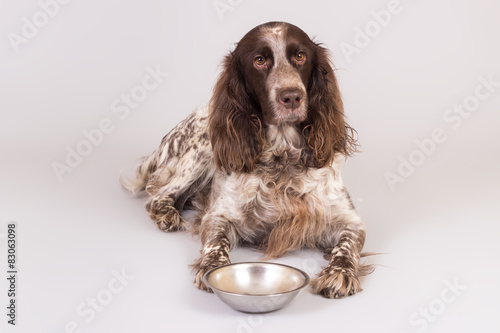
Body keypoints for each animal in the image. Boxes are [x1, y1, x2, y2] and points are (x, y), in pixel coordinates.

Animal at [121, 21, 372, 298]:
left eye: (300, 56)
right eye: (259, 60)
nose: (291, 96)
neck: (282, 158)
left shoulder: (348, 219)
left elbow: (348, 244)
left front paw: (340, 272)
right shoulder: (218, 216)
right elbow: (216, 241)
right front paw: (212, 267)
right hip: (201, 151)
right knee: (157, 195)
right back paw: (167, 214)